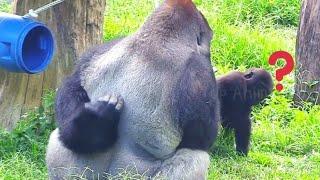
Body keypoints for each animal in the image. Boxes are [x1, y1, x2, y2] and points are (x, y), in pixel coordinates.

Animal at [45, 0, 220, 179]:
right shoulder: (199, 73)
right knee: (195, 156)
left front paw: (94, 122)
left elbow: (70, 90)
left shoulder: (98, 50)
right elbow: (202, 137)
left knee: (59, 138)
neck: (158, 38)